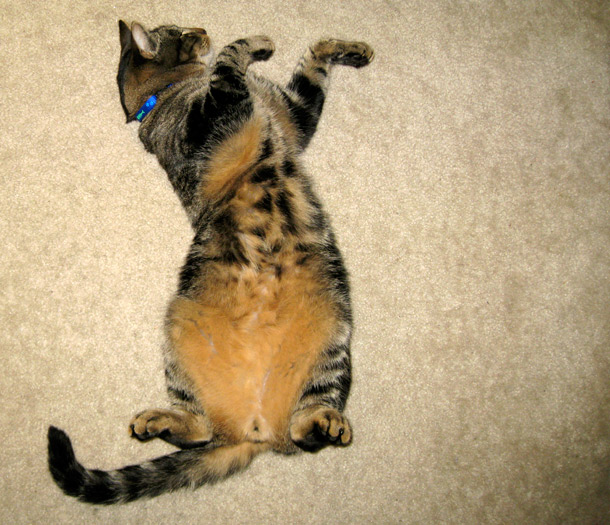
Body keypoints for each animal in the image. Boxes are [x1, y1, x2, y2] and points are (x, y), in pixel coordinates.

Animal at [47, 20, 374, 504]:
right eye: (179, 30)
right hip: (181, 332)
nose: (201, 27)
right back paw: (164, 420)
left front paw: (353, 49)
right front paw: (257, 43)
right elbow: (230, 59)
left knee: (299, 423)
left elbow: (314, 60)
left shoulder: (292, 114)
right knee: (205, 428)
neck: (167, 95)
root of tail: (252, 431)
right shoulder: (218, 107)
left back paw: (322, 421)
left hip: (331, 332)